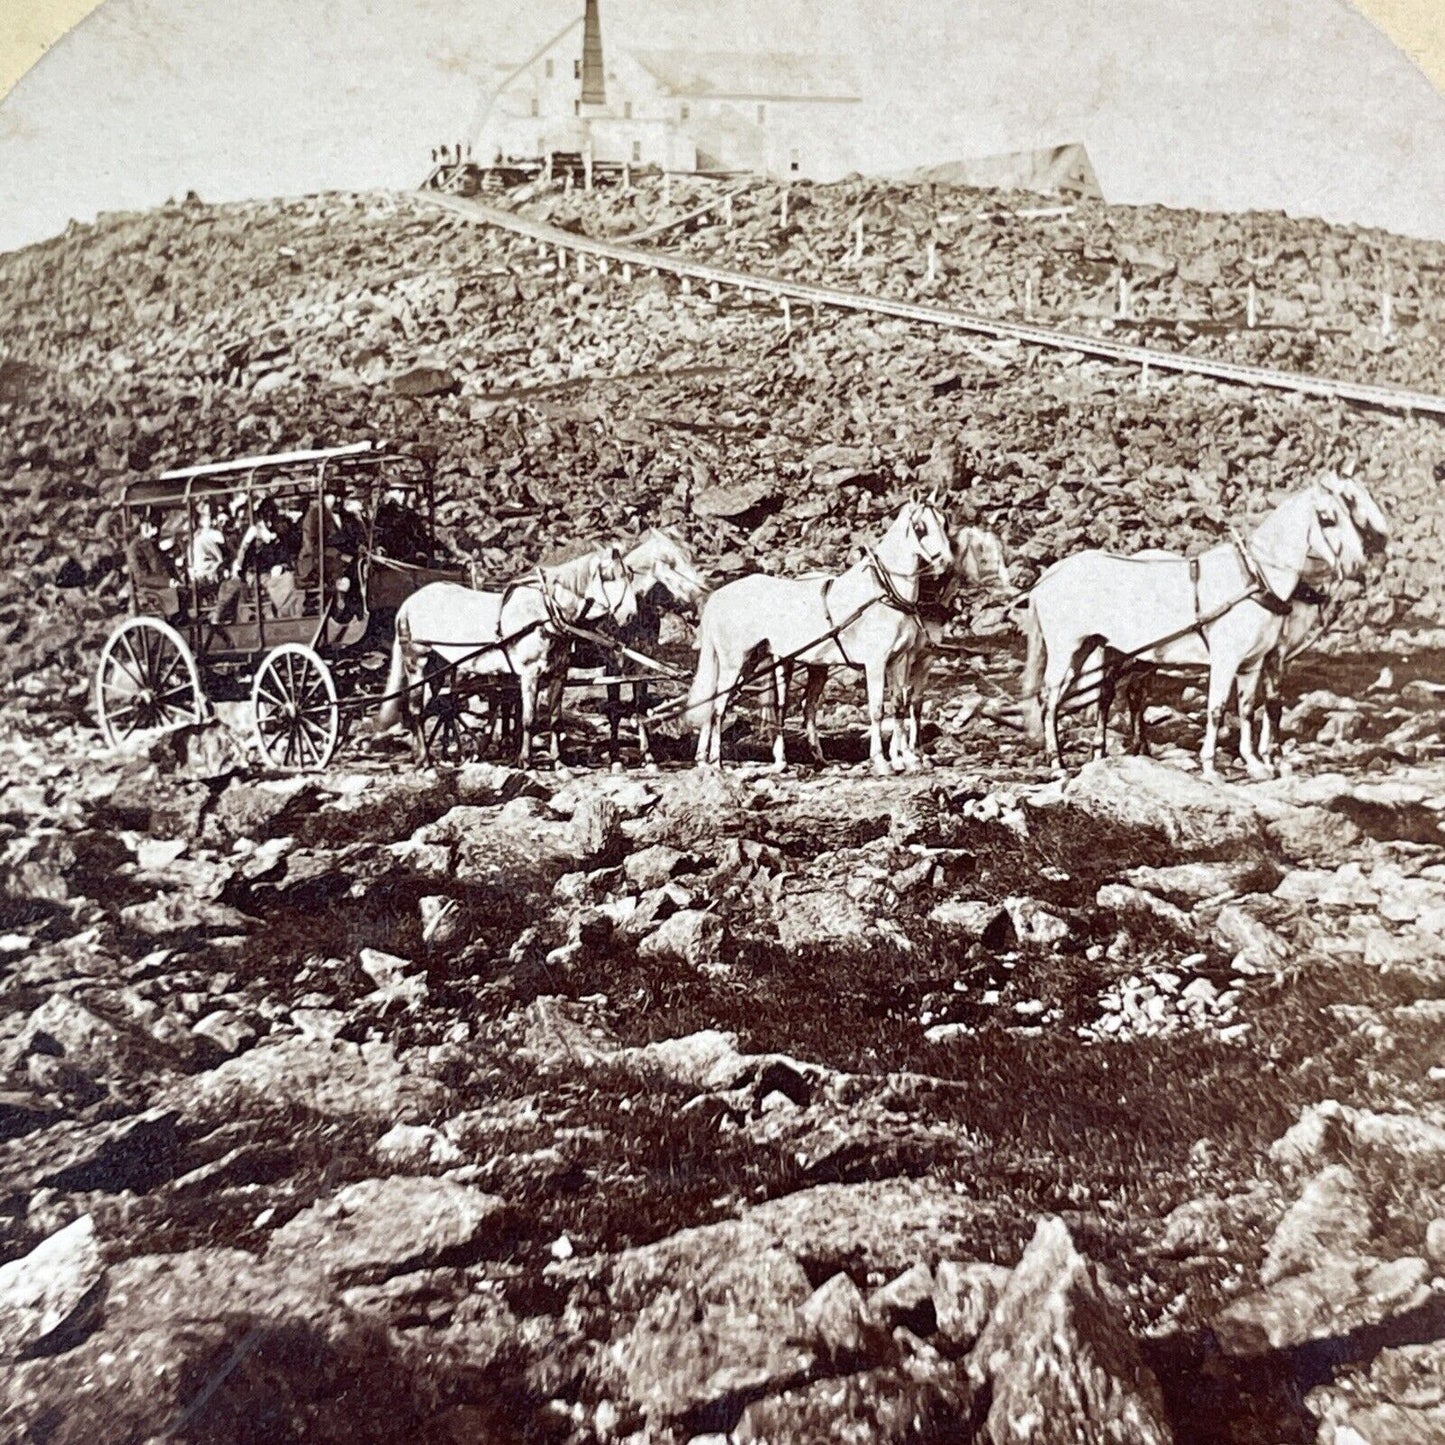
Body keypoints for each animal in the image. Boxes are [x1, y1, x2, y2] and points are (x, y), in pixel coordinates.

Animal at [378, 543, 638, 768]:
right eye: (611, 576)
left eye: (630, 575)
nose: (631, 616)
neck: (545, 612)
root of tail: (408, 604)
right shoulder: (530, 673)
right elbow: (528, 719)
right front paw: (525, 760)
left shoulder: (558, 674)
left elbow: (555, 719)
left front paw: (558, 761)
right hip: (416, 662)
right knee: (415, 710)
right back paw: (424, 760)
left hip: (437, 668)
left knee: (428, 708)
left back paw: (420, 754)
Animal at [684, 497, 953, 774]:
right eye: (920, 527)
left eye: (945, 523)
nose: (946, 562)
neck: (881, 593)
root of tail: (719, 596)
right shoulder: (876, 664)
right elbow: (878, 710)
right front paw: (881, 761)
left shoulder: (900, 660)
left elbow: (900, 706)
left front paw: (902, 760)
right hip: (735, 663)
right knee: (718, 707)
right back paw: (716, 762)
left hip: (769, 662)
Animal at [1017, 482, 1364, 780]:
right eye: (1327, 519)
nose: (1358, 565)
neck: (1252, 578)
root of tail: (1050, 575)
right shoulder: (1226, 661)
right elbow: (1216, 709)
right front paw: (1210, 767)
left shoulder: (1251, 664)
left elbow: (1248, 710)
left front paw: (1254, 764)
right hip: (1067, 650)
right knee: (1050, 700)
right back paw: (1057, 763)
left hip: (1096, 648)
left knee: (1093, 696)